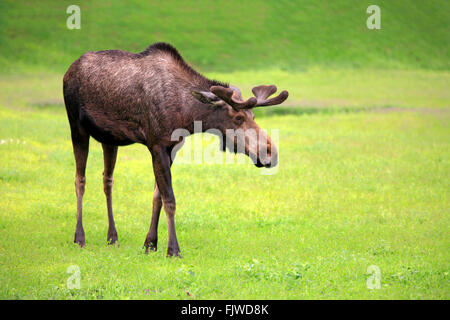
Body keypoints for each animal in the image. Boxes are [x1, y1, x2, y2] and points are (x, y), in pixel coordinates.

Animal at [63, 42, 288, 258]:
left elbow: (157, 197)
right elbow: (169, 199)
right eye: (238, 117)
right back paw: (79, 237)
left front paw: (150, 244)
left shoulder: (173, 147)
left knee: (107, 180)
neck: (187, 115)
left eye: (253, 116)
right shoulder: (156, 144)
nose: (270, 153)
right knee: (79, 179)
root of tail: (69, 69)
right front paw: (173, 249)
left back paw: (112, 237)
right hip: (77, 126)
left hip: (109, 138)